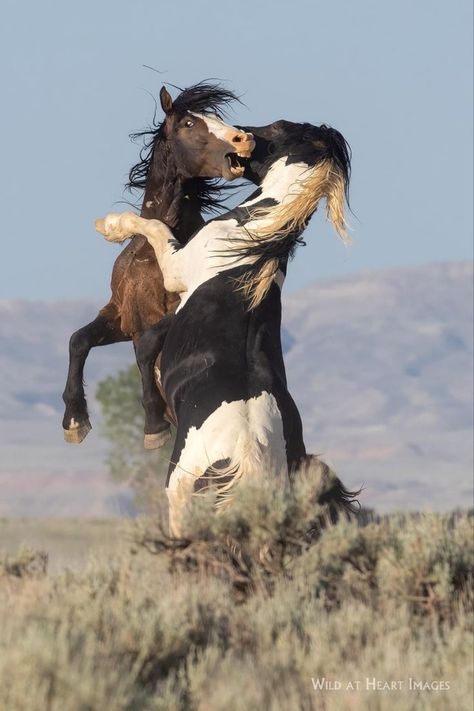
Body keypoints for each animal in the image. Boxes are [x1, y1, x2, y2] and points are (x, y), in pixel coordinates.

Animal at [64, 83, 256, 448]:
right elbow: (79, 340)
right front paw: (75, 421)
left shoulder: (179, 310)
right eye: (189, 123)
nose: (244, 139)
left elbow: (149, 345)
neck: (153, 253)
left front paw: (153, 425)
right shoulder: (121, 317)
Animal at [95, 118, 352, 540]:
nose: (241, 134)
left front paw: (110, 225)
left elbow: (152, 228)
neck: (253, 241)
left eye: (278, 127)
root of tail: (245, 456)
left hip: (180, 492)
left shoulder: (176, 269)